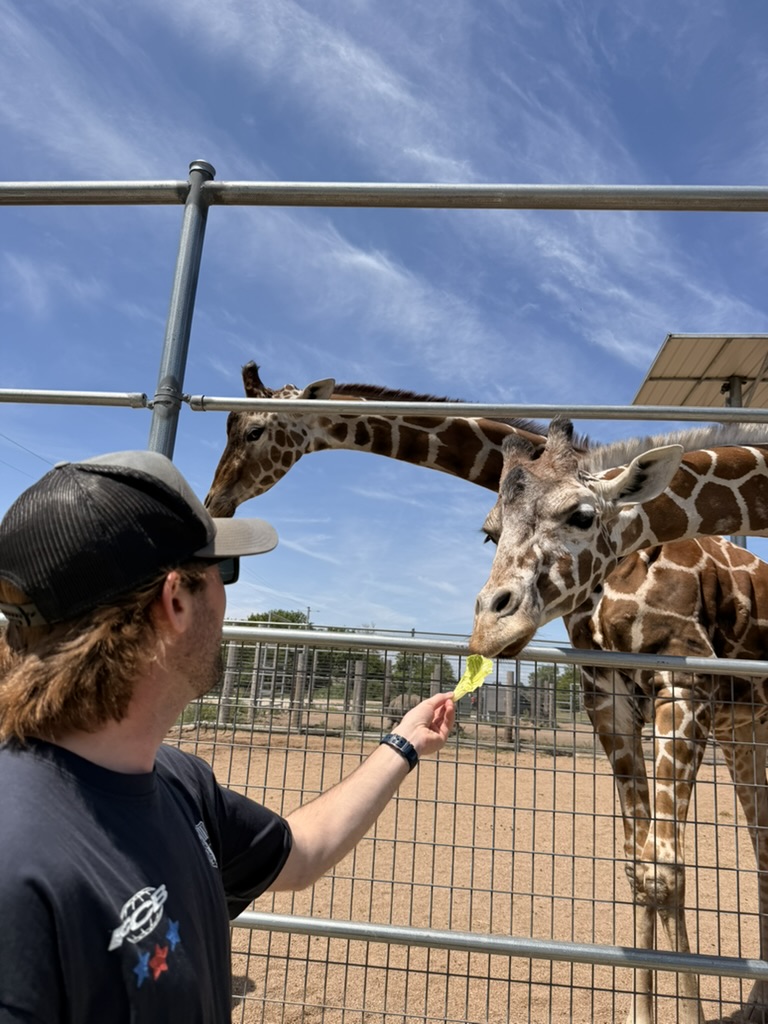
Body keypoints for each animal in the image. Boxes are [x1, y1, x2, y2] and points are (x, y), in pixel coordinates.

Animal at [206, 369, 768, 1023]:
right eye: (488, 533)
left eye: (254, 428)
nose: (216, 500)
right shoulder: (607, 691)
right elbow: (638, 864)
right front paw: (640, 1013)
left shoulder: (683, 678)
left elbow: (664, 870)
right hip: (744, 729)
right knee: (761, 845)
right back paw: (754, 1003)